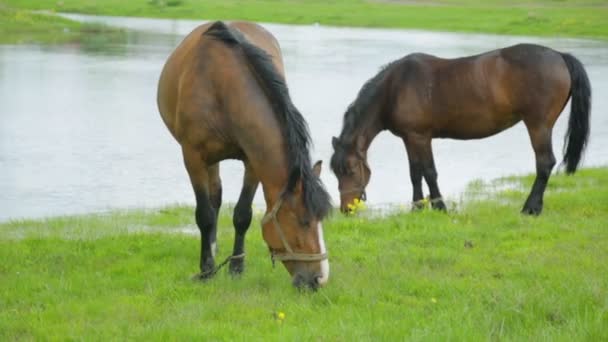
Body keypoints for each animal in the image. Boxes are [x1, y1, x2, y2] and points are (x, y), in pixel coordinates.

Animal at [154, 20, 330, 288]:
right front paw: (207, 270)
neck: (221, 87)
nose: (319, 279)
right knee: (212, 199)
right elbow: (204, 214)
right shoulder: (193, 158)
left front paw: (236, 266)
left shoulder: (253, 162)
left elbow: (242, 215)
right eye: (304, 221)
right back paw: (211, 250)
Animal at [330, 44, 592, 215]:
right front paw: (417, 207)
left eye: (350, 169)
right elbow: (415, 173)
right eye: (335, 172)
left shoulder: (420, 137)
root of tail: (559, 56)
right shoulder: (409, 138)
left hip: (538, 126)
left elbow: (429, 172)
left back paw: (531, 208)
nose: (346, 209)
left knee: (545, 163)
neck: (395, 88)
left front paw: (439, 206)